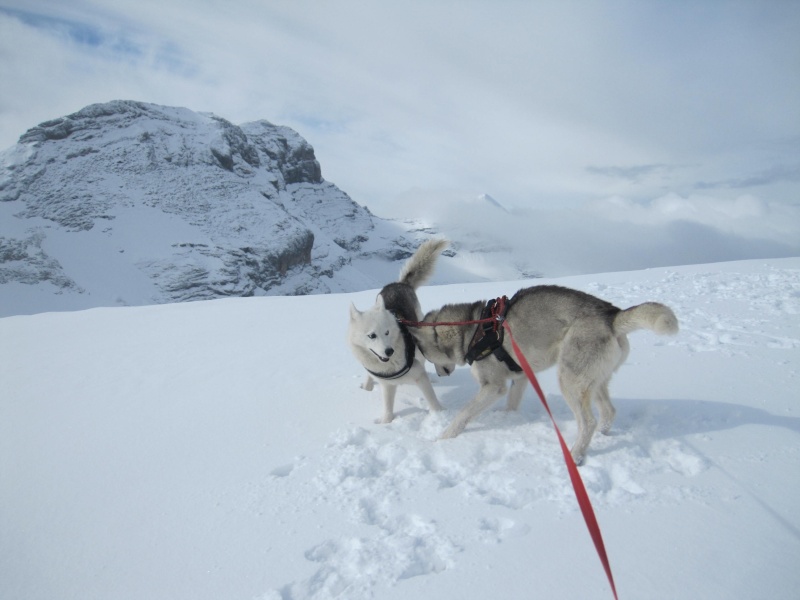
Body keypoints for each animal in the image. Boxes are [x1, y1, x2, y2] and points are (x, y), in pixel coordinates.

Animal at [346, 238, 450, 422]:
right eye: (372, 335)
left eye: (387, 332)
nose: (389, 351)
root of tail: (399, 284)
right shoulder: (387, 385)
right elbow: (388, 408)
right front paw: (386, 423)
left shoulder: (419, 375)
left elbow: (432, 400)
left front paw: (440, 416)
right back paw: (367, 386)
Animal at [410, 286, 680, 464]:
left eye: (425, 355)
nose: (440, 375)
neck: (474, 330)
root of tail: (611, 315)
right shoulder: (520, 376)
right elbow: (511, 404)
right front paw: (507, 419)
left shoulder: (493, 386)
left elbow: (464, 414)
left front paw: (445, 437)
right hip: (594, 381)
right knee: (608, 412)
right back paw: (602, 436)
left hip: (569, 380)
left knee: (588, 422)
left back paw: (576, 455)